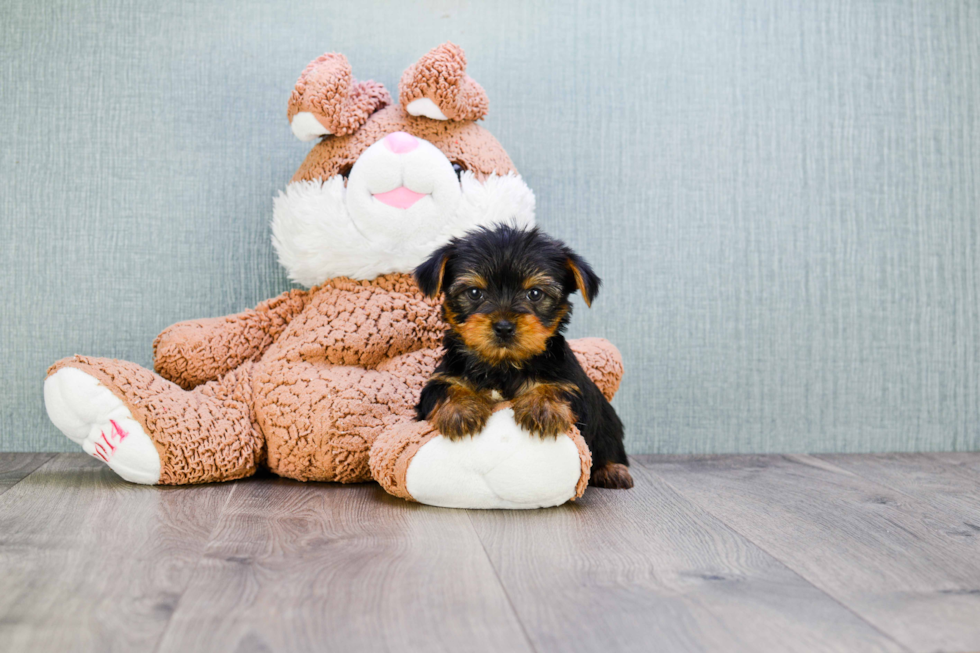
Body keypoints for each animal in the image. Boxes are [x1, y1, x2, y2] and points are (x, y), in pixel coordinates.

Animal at [414, 224, 636, 488]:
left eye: (535, 294)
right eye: (475, 292)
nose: (504, 327)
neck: (503, 365)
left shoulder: (572, 383)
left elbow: (556, 387)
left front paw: (542, 407)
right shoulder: (440, 380)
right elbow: (447, 387)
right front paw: (460, 410)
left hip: (608, 421)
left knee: (608, 444)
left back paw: (612, 470)